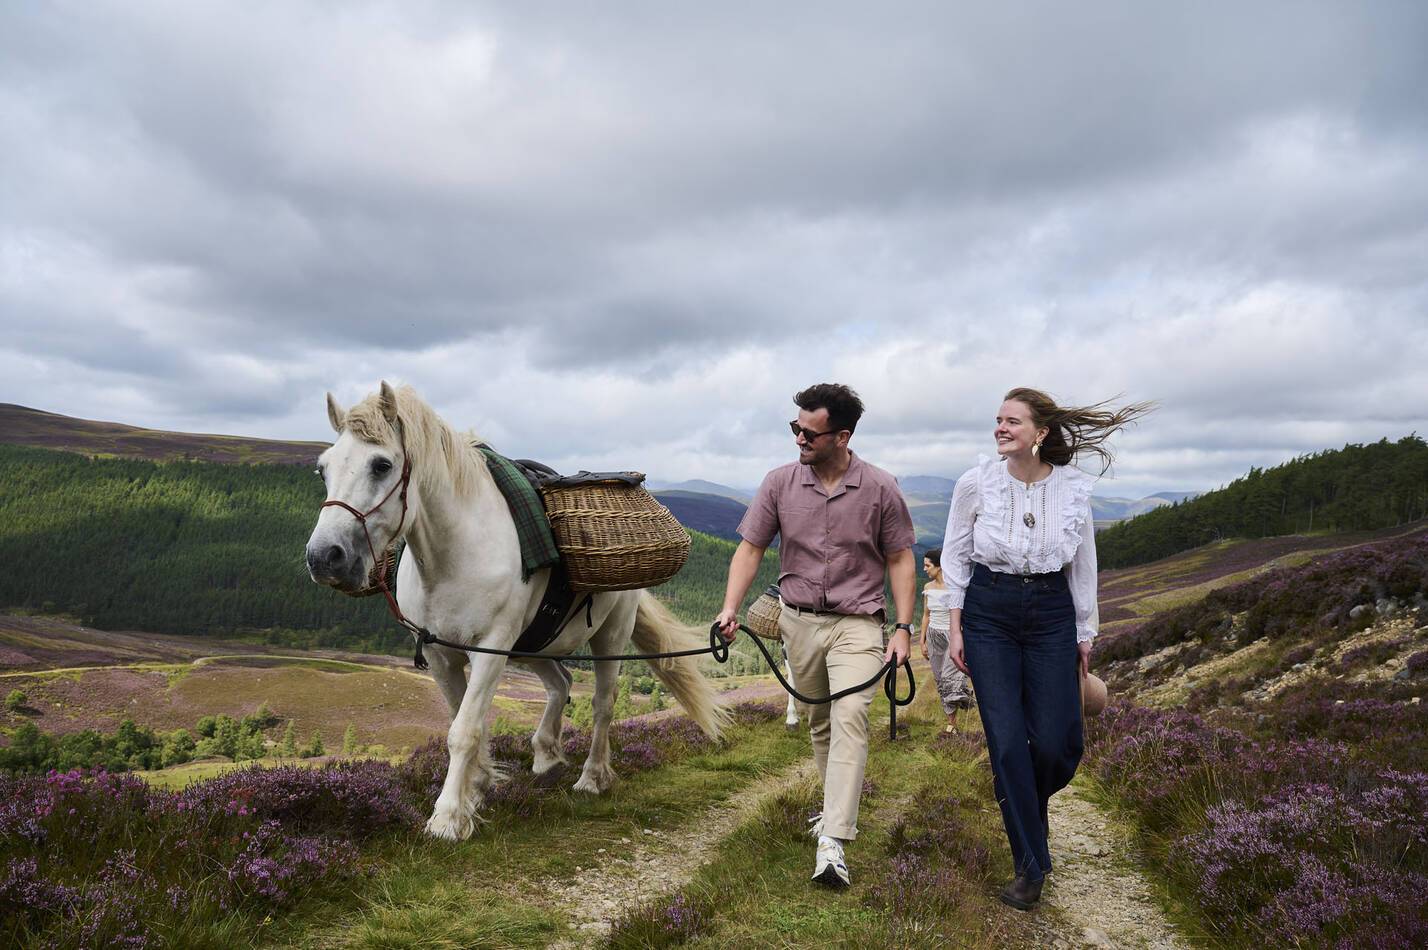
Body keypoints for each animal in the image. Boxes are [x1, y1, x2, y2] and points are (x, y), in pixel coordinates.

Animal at [301, 380, 725, 840]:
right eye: (323, 469)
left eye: (381, 465)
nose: (324, 557)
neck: (454, 556)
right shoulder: (440, 655)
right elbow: (466, 720)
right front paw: (476, 789)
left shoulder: (491, 648)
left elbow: (464, 729)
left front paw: (448, 816)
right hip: (536, 642)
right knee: (560, 683)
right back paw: (547, 755)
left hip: (608, 633)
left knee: (602, 702)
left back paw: (592, 776)